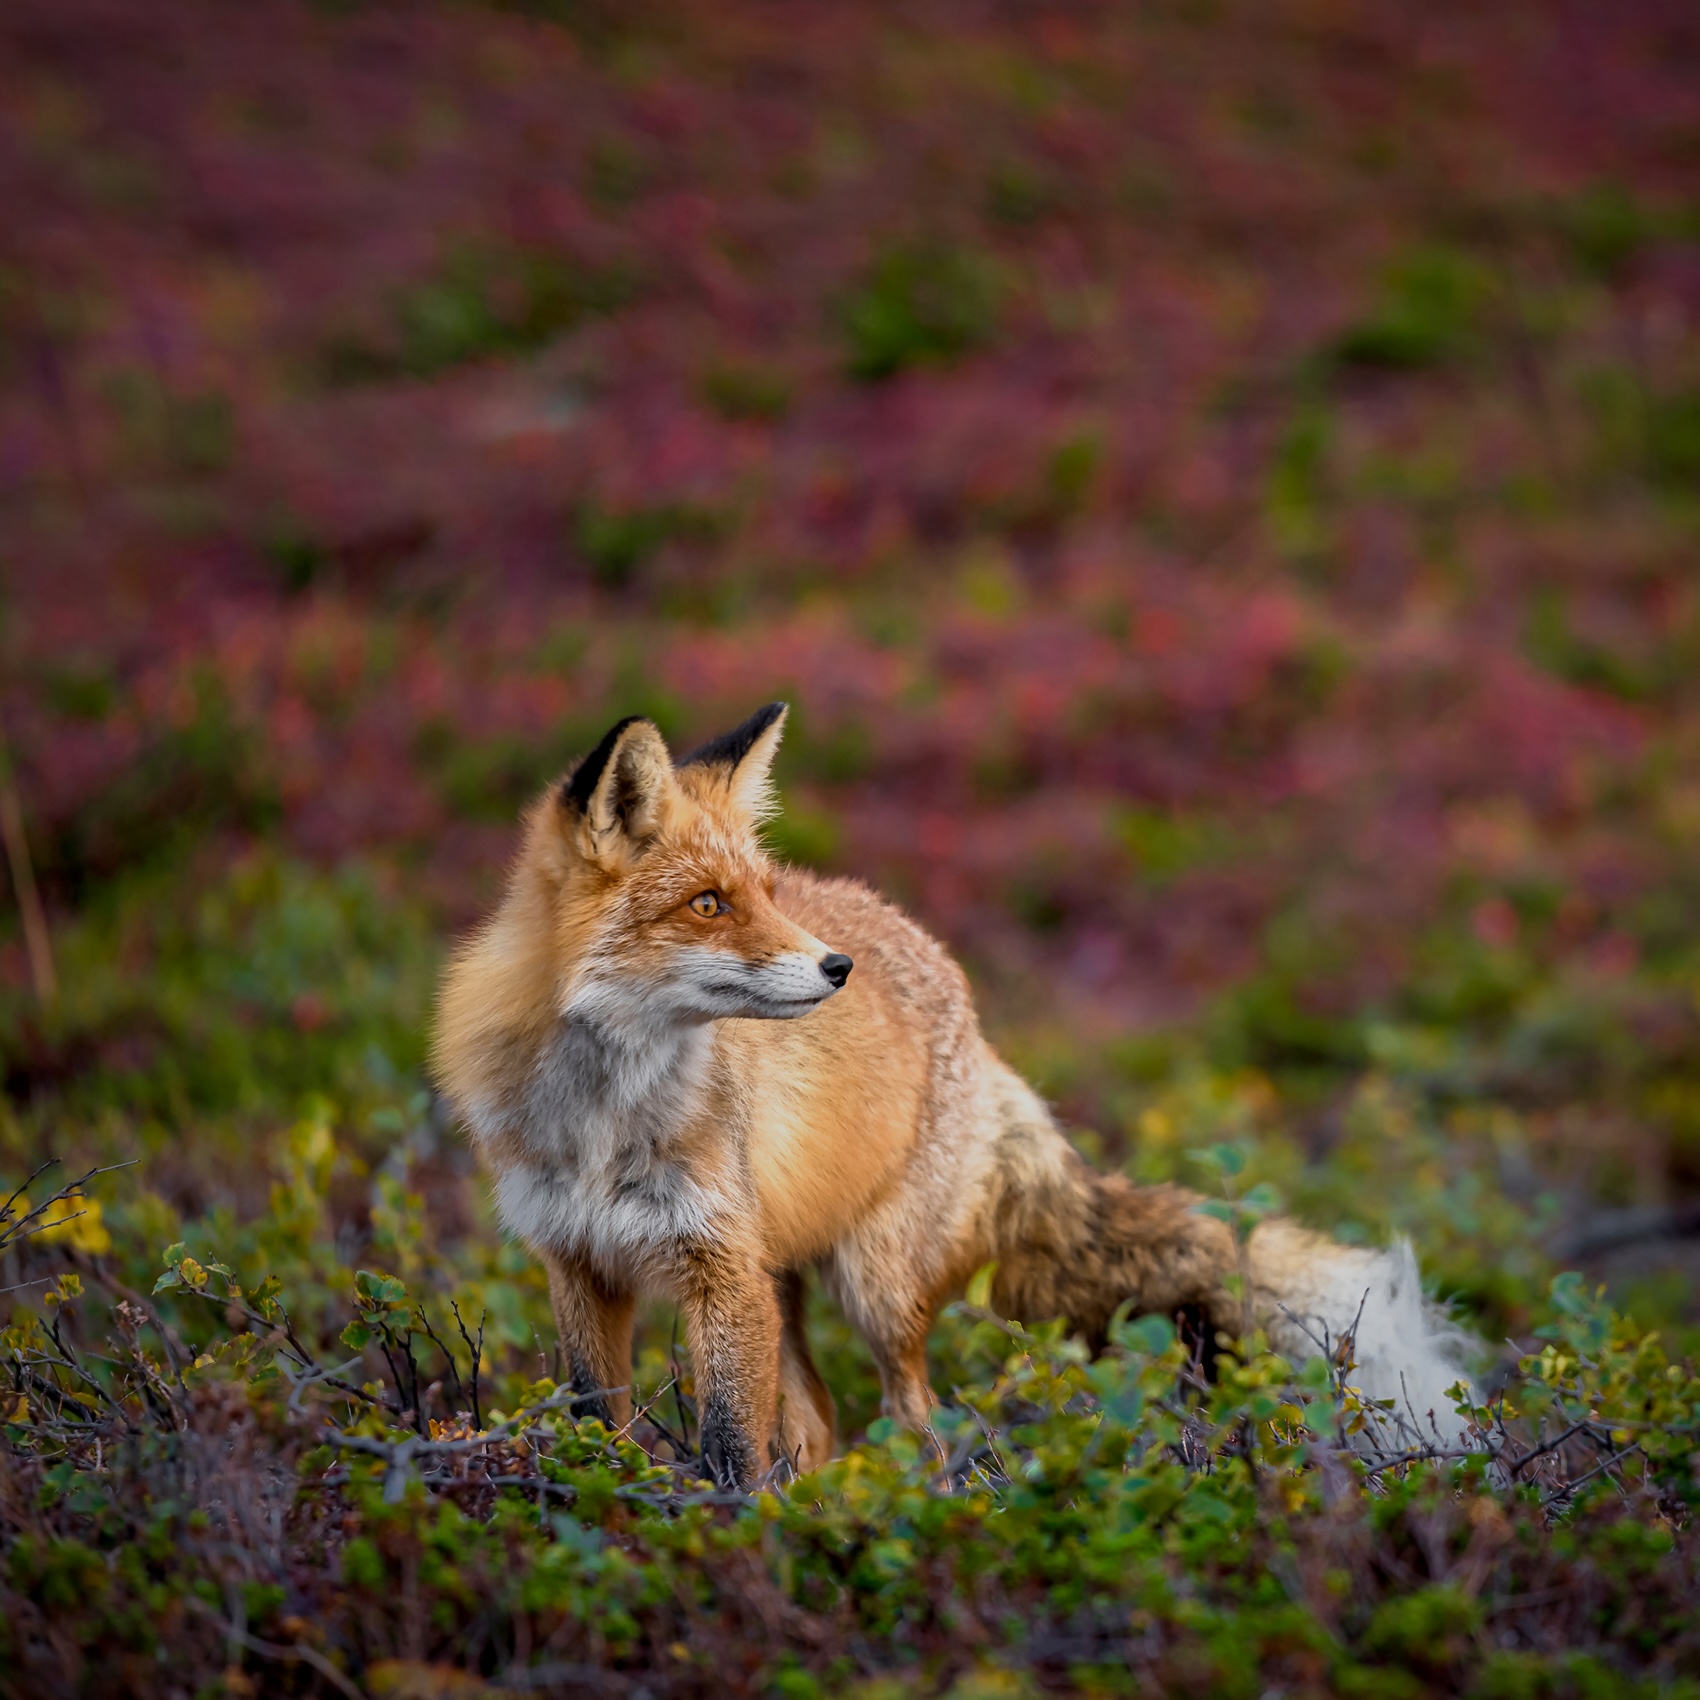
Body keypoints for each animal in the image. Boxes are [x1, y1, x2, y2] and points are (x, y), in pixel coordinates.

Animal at [428, 703, 1475, 1489]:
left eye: (764, 892)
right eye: (708, 905)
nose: (835, 968)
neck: (604, 1123)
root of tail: (967, 1003)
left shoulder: (717, 1267)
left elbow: (729, 1443)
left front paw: (728, 1536)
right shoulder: (578, 1263)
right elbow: (595, 1419)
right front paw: (610, 1506)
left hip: (874, 1288)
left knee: (914, 1418)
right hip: (786, 1280)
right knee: (820, 1421)